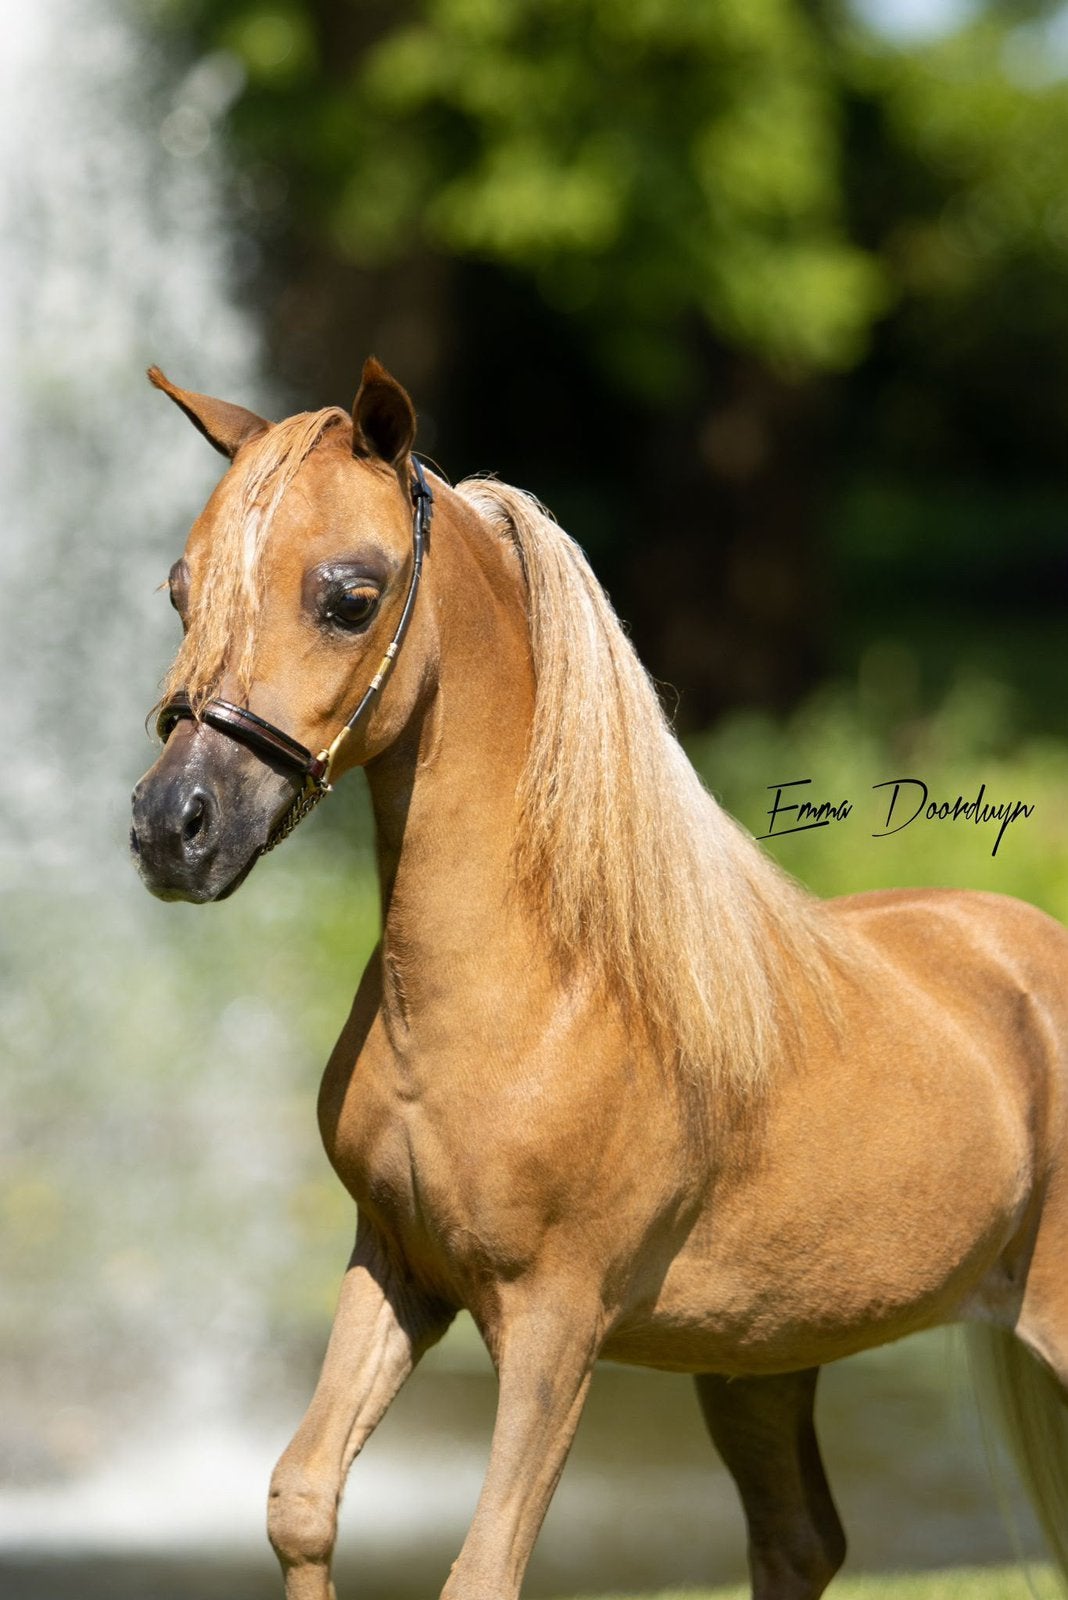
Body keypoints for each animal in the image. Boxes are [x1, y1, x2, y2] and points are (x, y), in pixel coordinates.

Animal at [131, 358, 1068, 1600]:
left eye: (350, 596)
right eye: (180, 592)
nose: (172, 826)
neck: (535, 994)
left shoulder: (554, 1322)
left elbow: (482, 1567)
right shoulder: (397, 1266)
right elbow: (302, 1499)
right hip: (764, 1356)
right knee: (799, 1541)